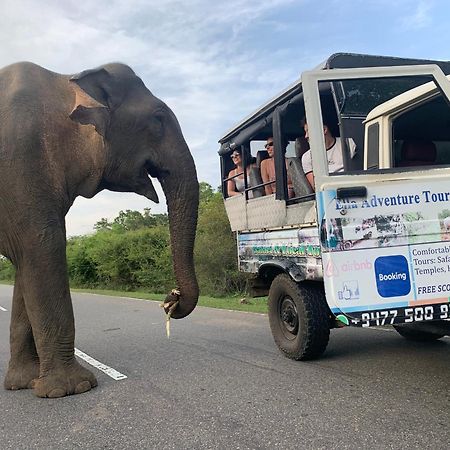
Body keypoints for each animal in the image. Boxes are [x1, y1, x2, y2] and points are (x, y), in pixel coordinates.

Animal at [0, 62, 199, 398]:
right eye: (158, 119)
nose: (170, 298)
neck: (65, 80)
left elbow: (26, 264)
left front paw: (24, 384)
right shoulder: (22, 161)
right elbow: (44, 246)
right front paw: (72, 389)